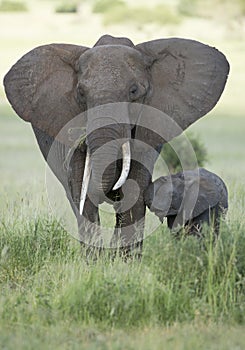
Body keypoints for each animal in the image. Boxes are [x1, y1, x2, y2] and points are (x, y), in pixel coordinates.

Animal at [3, 34, 230, 260]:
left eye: (134, 91)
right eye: (81, 93)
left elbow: (134, 190)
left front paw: (125, 262)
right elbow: (81, 192)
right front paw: (94, 263)